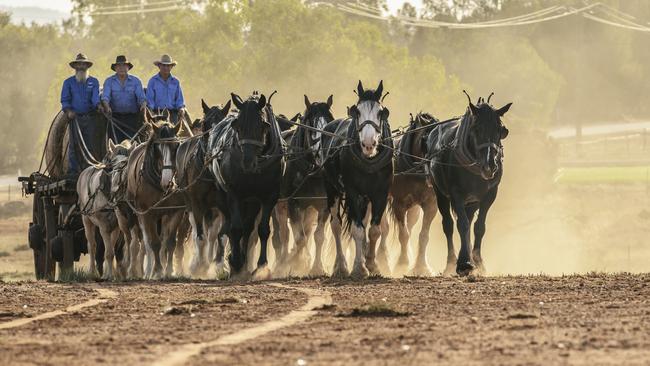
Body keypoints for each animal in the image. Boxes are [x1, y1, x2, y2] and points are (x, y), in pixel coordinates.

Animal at [125, 110, 185, 278]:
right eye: (157, 148)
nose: (168, 182)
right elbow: (154, 243)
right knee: (145, 242)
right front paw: (157, 270)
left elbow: (170, 242)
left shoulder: (176, 211)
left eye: (176, 146)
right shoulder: (147, 213)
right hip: (138, 215)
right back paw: (147, 270)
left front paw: (169, 270)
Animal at [205, 92, 280, 280]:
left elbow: (262, 229)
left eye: (263, 126)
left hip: (252, 201)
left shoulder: (270, 196)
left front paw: (261, 266)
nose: (247, 163)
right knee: (230, 225)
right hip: (223, 196)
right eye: (236, 126)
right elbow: (236, 228)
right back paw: (232, 261)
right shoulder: (234, 194)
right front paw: (236, 261)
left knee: (248, 227)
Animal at [272, 93, 334, 274]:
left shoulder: (323, 205)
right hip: (280, 205)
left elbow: (318, 236)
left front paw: (316, 267)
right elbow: (299, 237)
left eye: (329, 121)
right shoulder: (293, 204)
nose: (320, 150)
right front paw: (296, 263)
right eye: (310, 123)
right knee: (283, 234)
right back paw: (282, 261)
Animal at [318, 81, 390, 278]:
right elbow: (357, 230)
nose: (368, 144)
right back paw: (341, 266)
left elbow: (374, 230)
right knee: (336, 225)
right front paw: (359, 267)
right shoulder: (352, 192)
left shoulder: (381, 193)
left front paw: (372, 263)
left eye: (381, 112)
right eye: (357, 112)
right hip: (332, 189)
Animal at [426, 93, 512, 276]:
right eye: (476, 129)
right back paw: (451, 262)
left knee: (469, 217)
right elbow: (462, 225)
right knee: (449, 225)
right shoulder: (456, 193)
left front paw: (478, 262)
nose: (490, 166)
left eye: (500, 129)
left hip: (472, 201)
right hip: (440, 193)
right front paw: (464, 262)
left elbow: (479, 226)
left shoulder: (490, 194)